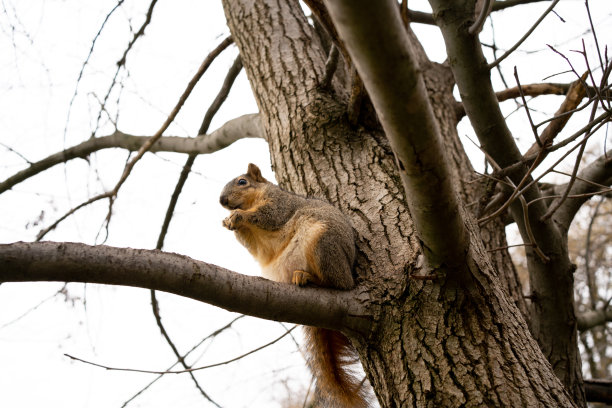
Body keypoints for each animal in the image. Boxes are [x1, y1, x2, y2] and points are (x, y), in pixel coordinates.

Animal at [219, 163, 366, 408]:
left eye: (242, 182)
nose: (222, 201)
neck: (253, 200)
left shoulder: (280, 203)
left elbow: (268, 215)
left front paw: (239, 216)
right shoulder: (254, 241)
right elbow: (251, 244)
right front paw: (228, 221)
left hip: (324, 243)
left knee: (338, 283)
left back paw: (308, 277)